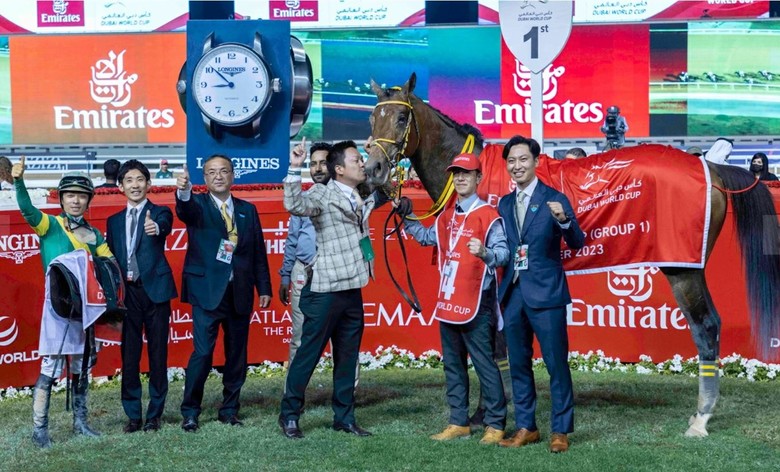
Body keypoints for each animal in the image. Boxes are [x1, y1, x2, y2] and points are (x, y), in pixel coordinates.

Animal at [364, 72, 780, 438]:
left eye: (401, 117)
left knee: (706, 327)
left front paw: (490, 414)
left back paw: (701, 418)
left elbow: (491, 346)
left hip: (682, 268)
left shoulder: (492, 274)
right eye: (372, 116)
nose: (374, 169)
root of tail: (709, 166)